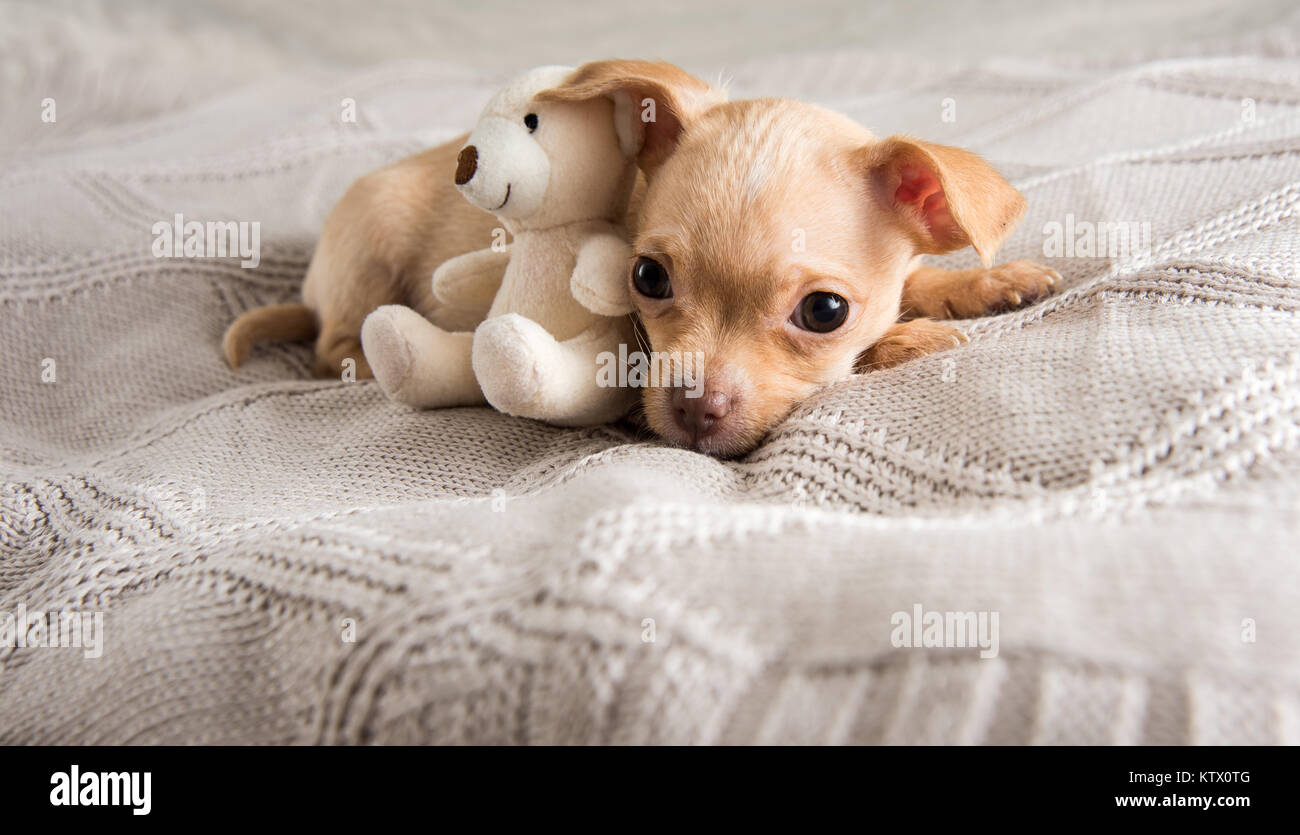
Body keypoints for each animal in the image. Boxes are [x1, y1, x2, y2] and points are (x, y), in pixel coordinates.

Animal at [223, 58, 1055, 455]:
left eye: (823, 311)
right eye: (647, 278)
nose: (693, 408)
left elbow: (916, 276)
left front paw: (983, 281)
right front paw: (909, 338)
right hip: (369, 244)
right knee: (334, 340)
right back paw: (361, 359)